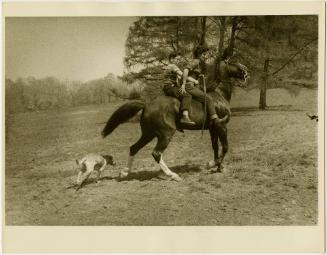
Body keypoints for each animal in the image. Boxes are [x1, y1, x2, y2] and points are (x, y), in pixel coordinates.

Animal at [102, 59, 249, 181]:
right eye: (235, 63)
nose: (247, 72)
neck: (218, 93)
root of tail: (147, 104)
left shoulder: (213, 129)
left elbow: (215, 147)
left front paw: (219, 167)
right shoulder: (221, 126)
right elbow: (225, 147)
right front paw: (212, 164)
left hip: (149, 134)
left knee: (134, 148)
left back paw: (124, 172)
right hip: (166, 133)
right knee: (156, 153)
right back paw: (172, 175)